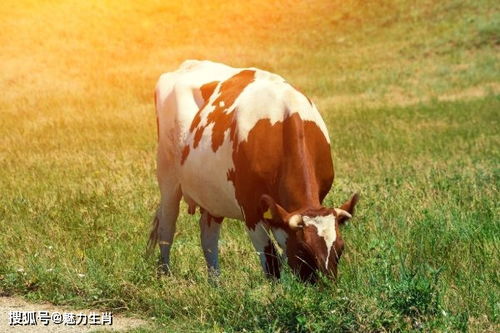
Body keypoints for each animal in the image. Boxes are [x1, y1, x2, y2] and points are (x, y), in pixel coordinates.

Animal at [148, 59, 360, 280]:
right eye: (303, 249)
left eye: (341, 248)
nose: (327, 285)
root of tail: (189, 64)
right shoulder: (250, 208)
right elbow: (271, 260)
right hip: (167, 177)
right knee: (166, 227)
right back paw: (166, 275)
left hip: (212, 193)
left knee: (208, 236)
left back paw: (216, 283)